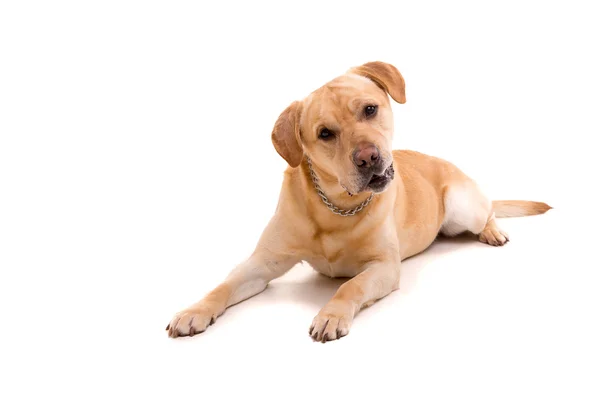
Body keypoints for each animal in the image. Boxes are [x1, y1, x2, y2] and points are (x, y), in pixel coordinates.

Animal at [166, 61, 552, 342]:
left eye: (370, 109)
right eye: (325, 133)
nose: (368, 157)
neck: (336, 205)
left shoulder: (383, 267)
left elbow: (351, 285)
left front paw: (330, 314)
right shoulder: (262, 263)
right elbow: (224, 284)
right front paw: (194, 310)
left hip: (462, 205)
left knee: (487, 212)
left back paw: (492, 230)